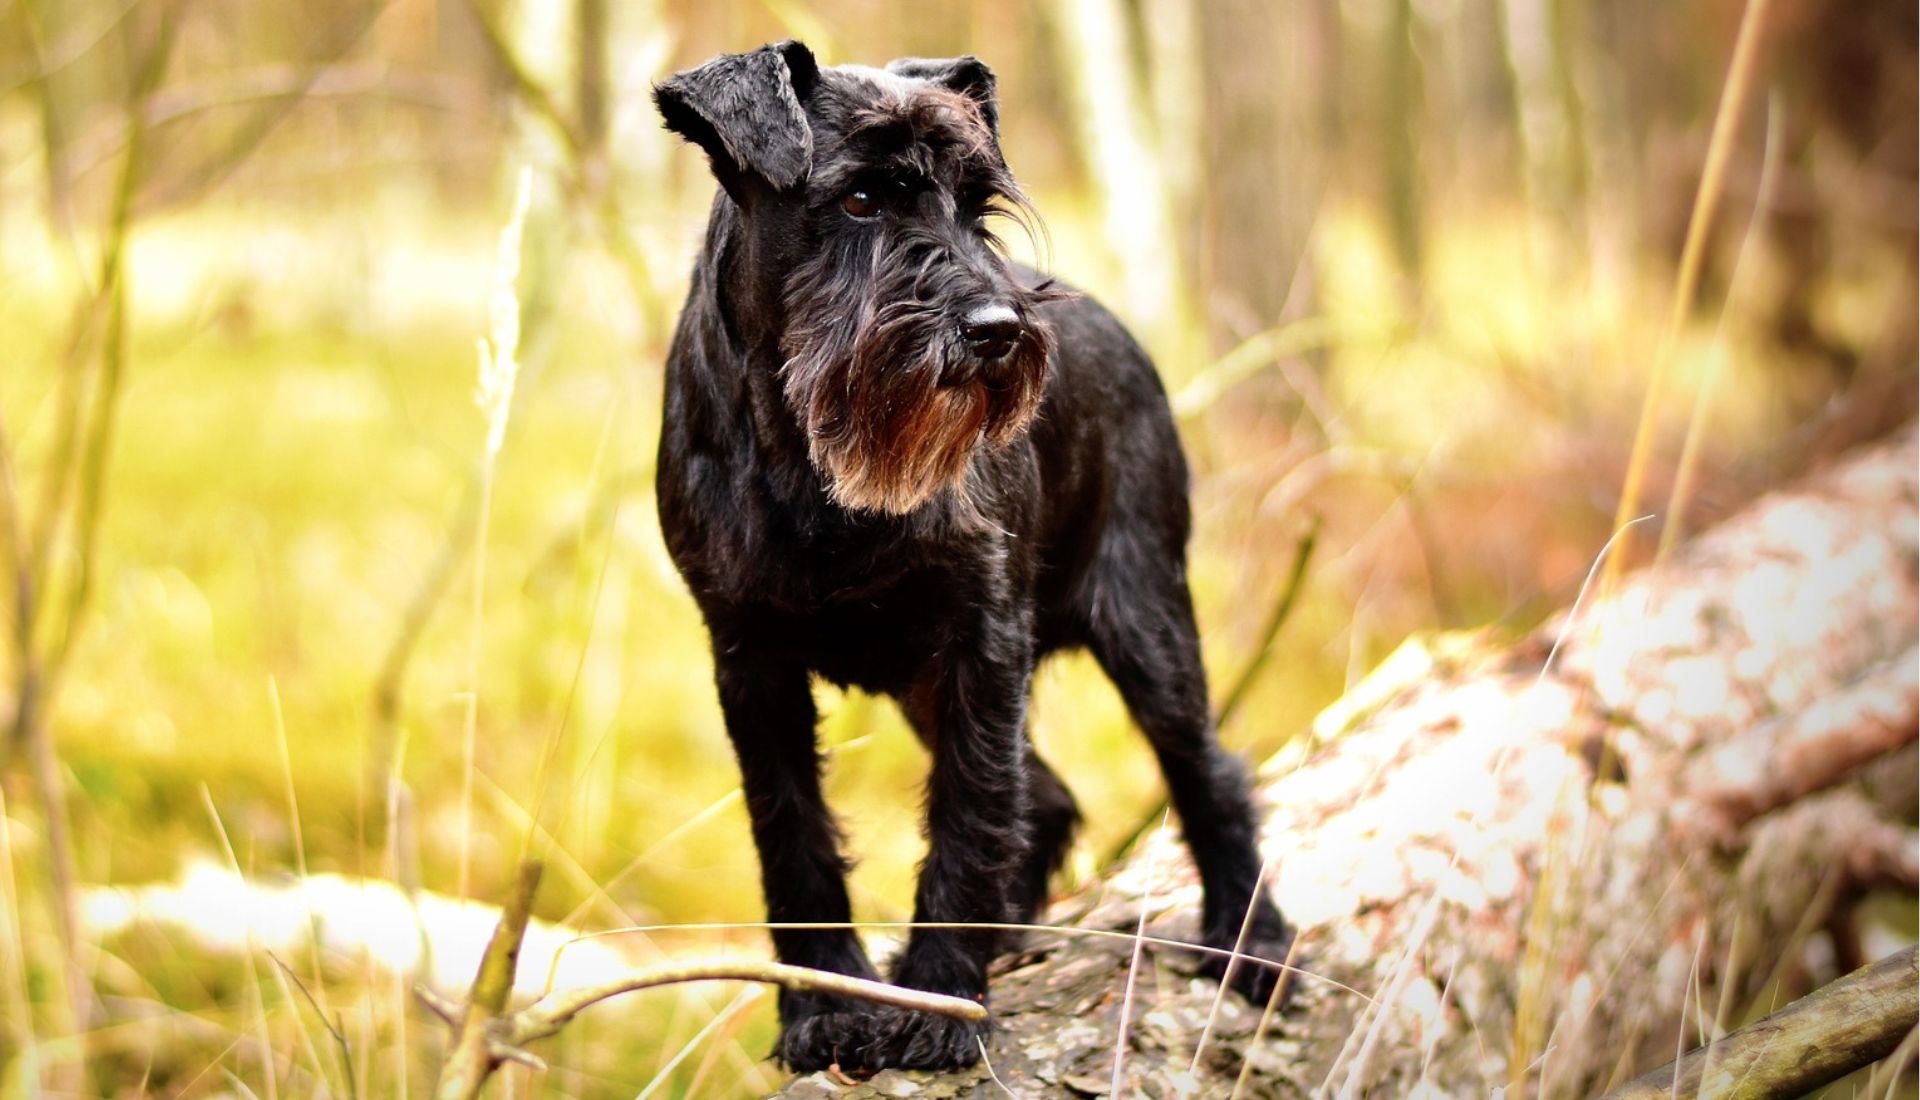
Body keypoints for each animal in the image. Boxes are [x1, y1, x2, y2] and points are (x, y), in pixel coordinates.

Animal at [652, 45, 1297, 1075]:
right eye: (861, 199)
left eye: (977, 203)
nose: (997, 328)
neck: (809, 466)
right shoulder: (749, 661)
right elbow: (792, 831)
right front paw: (825, 1006)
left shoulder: (980, 643)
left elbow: (969, 812)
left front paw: (940, 1001)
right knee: (1053, 796)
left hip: (1148, 626)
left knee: (1207, 771)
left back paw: (1253, 942)